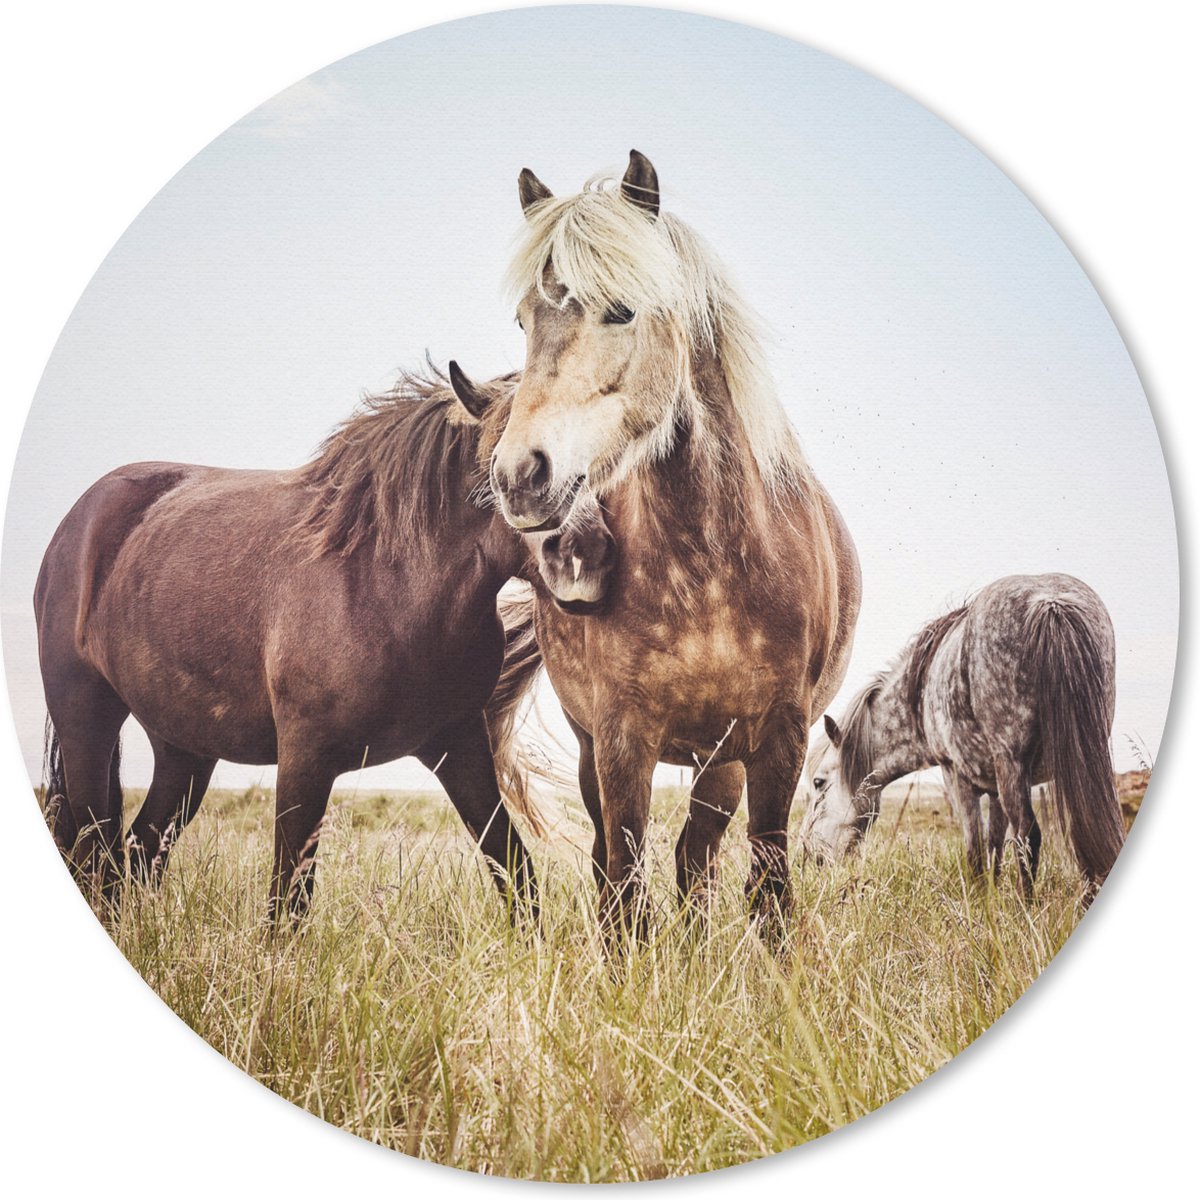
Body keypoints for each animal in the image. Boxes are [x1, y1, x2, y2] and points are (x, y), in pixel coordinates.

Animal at [35, 364, 613, 922]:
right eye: (508, 463)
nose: (587, 553)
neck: (386, 581)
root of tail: (78, 522)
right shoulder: (305, 758)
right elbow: (288, 899)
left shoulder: (459, 745)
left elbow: (515, 869)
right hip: (87, 724)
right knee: (94, 850)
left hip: (184, 751)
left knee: (135, 853)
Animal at [450, 151, 861, 942]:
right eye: (524, 319)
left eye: (621, 309)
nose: (519, 476)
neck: (709, 570)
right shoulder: (620, 740)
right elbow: (624, 881)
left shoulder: (779, 740)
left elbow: (768, 884)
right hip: (601, 751)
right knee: (624, 862)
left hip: (719, 763)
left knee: (695, 859)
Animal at [800, 573, 1126, 898]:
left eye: (818, 782)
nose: (809, 853)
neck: (918, 694)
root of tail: (1050, 603)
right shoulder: (995, 788)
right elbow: (994, 844)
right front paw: (993, 896)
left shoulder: (956, 775)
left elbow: (975, 847)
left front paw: (980, 899)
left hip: (1012, 763)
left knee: (1027, 835)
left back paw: (1027, 905)